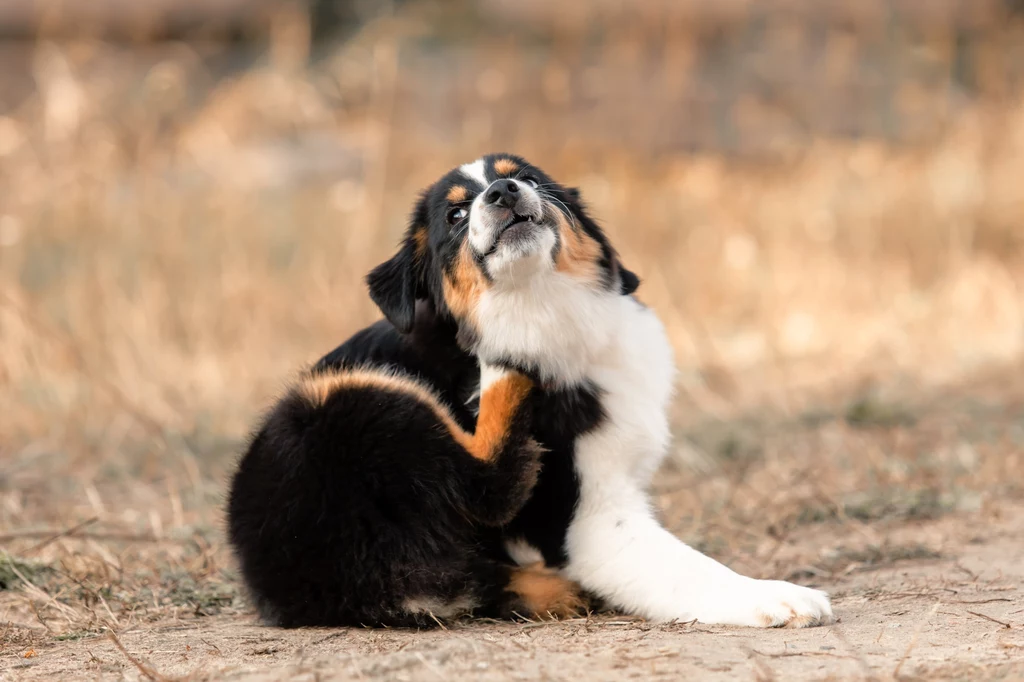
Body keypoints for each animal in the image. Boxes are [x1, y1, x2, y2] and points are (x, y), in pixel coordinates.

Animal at [228, 152, 835, 626]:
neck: (551, 309)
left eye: (526, 177)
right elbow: (685, 565)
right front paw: (775, 597)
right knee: (488, 481)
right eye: (455, 213)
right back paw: (502, 368)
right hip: (345, 398)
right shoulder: (587, 517)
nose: (501, 193)